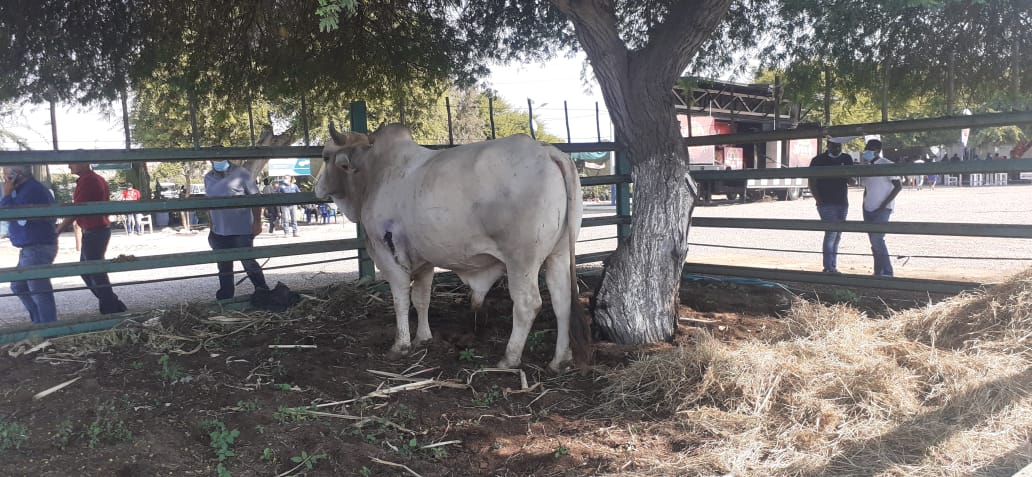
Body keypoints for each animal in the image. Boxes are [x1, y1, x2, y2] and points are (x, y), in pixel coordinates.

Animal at [313, 124, 590, 371]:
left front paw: (400, 345)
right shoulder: (424, 261)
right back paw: (559, 360)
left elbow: (400, 299)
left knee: (527, 304)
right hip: (559, 254)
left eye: (326, 156)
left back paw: (509, 359)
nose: (316, 187)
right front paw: (423, 338)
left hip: (522, 260)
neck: (374, 172)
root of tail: (547, 151)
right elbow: (421, 299)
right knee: (563, 300)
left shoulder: (388, 253)